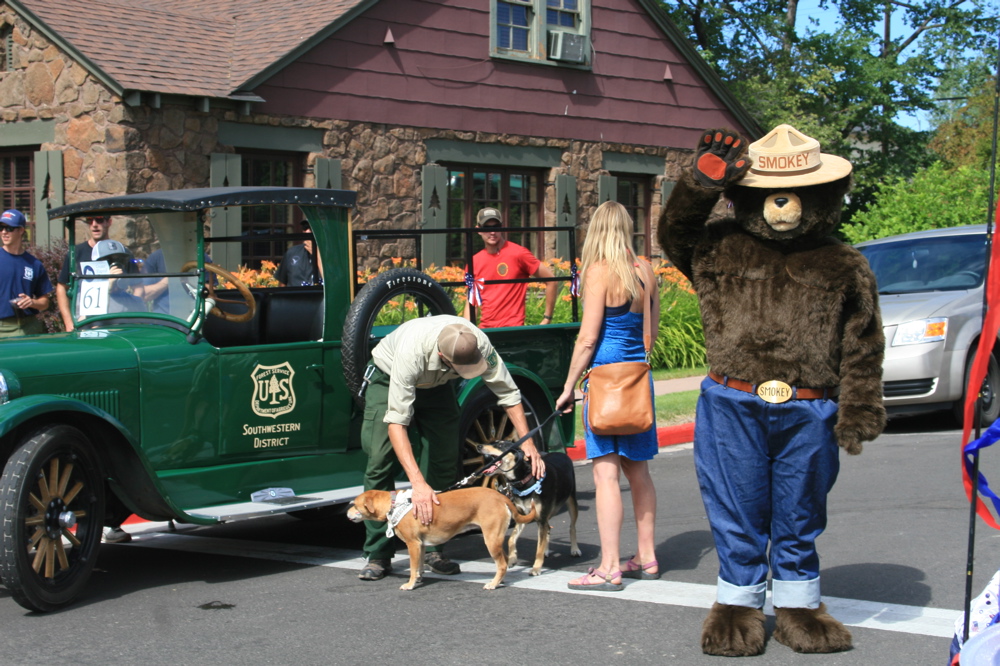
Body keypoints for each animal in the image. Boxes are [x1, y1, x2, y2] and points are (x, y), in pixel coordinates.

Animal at [348, 486, 536, 588]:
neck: (395, 505)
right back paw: (500, 581)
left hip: (491, 538)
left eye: (355, 504)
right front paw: (418, 579)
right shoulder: (421, 545)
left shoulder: (413, 544)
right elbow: (419, 567)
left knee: (502, 564)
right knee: (504, 561)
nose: (346, 513)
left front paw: (410, 584)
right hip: (495, 538)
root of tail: (500, 496)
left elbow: (413, 568)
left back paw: (493, 584)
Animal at [480, 444, 584, 572]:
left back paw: (575, 549)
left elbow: (538, 547)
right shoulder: (523, 516)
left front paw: (536, 568)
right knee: (548, 529)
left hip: (571, 501)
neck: (526, 481)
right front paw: (512, 559)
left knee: (572, 527)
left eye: (500, 445)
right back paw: (546, 550)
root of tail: (560, 453)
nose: (479, 446)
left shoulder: (541, 518)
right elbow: (511, 539)